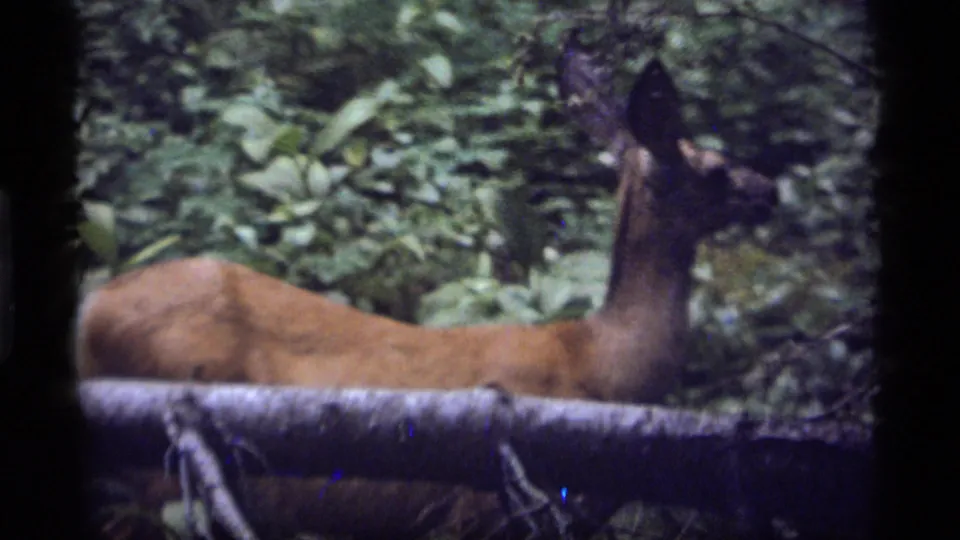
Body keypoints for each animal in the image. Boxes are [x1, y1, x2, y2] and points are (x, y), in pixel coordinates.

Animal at [76, 37, 778, 540]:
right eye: (714, 168)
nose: (769, 189)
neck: (603, 365)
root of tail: (89, 311)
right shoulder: (480, 511)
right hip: (158, 476)